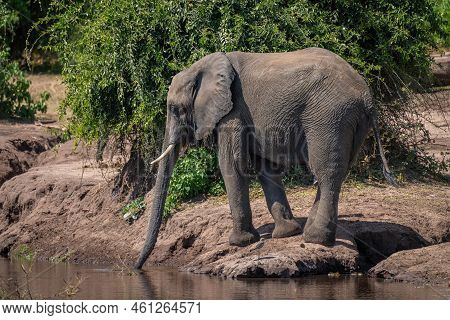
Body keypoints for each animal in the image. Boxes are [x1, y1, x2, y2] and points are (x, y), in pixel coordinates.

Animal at [134, 47, 398, 270]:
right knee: (336, 173)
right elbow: (266, 168)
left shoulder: (233, 111)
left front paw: (240, 242)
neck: (203, 67)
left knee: (326, 172)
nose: (137, 267)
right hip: (351, 122)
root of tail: (366, 96)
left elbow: (232, 166)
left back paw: (316, 239)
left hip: (330, 117)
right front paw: (286, 233)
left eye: (176, 109)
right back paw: (309, 233)